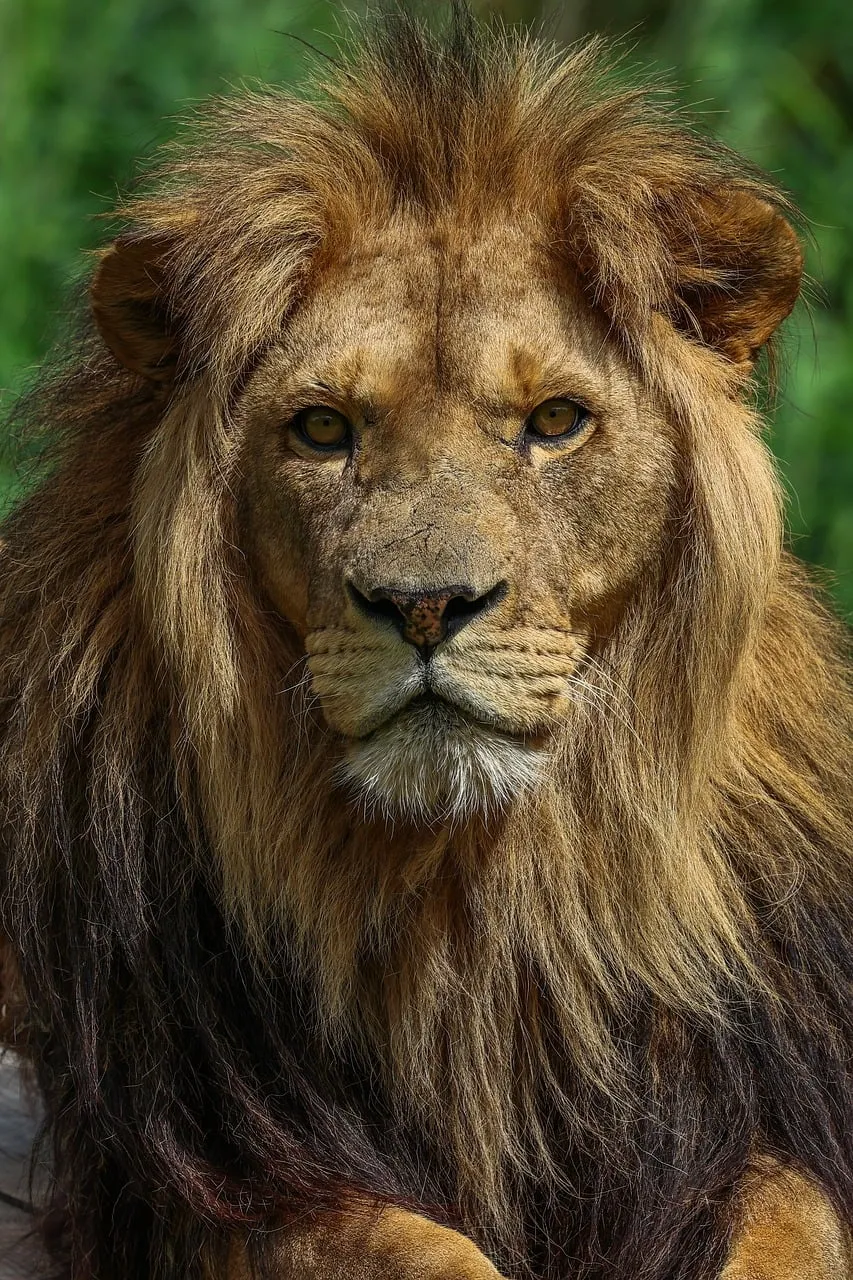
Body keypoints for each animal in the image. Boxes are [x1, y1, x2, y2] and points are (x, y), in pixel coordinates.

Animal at [1, 7, 852, 1280]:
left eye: (554, 421)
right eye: (321, 428)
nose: (424, 605)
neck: (475, 895)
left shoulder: (738, 1116)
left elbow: (798, 1225)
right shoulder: (201, 1177)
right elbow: (421, 1251)